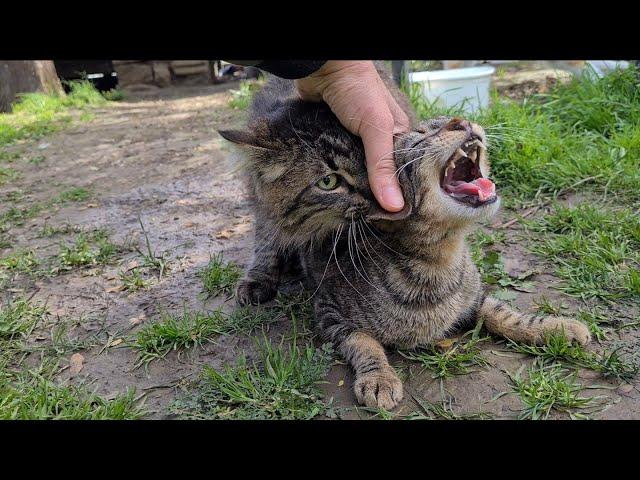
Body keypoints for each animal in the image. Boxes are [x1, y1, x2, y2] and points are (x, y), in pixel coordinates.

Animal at [220, 69, 592, 410]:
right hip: (266, 204)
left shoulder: (475, 296)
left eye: (446, 121)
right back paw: (258, 278)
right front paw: (379, 378)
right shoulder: (330, 314)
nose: (460, 121)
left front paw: (554, 327)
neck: (438, 261)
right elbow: (364, 342)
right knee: (267, 235)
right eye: (420, 136)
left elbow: (504, 313)